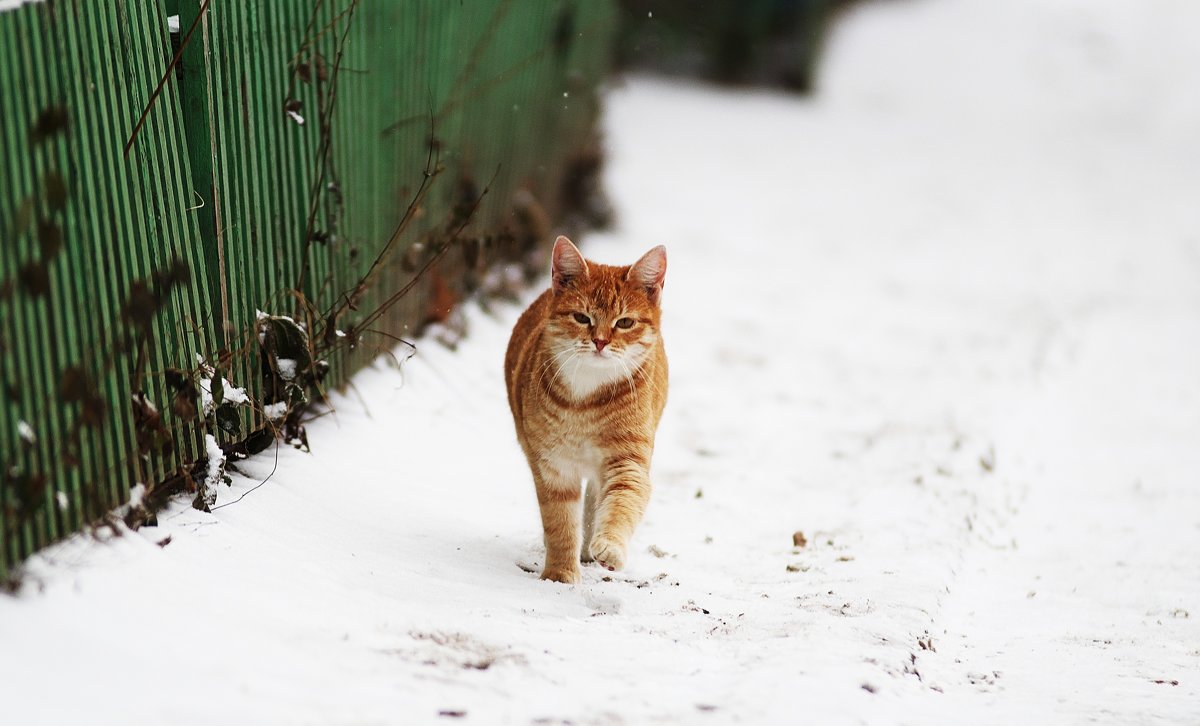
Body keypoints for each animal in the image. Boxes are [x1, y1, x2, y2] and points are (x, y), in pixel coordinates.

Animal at [504, 236, 672, 583]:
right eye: (582, 318)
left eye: (625, 322)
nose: (600, 341)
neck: (586, 400)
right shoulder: (553, 467)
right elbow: (560, 525)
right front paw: (559, 575)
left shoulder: (628, 463)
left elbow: (621, 503)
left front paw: (609, 547)